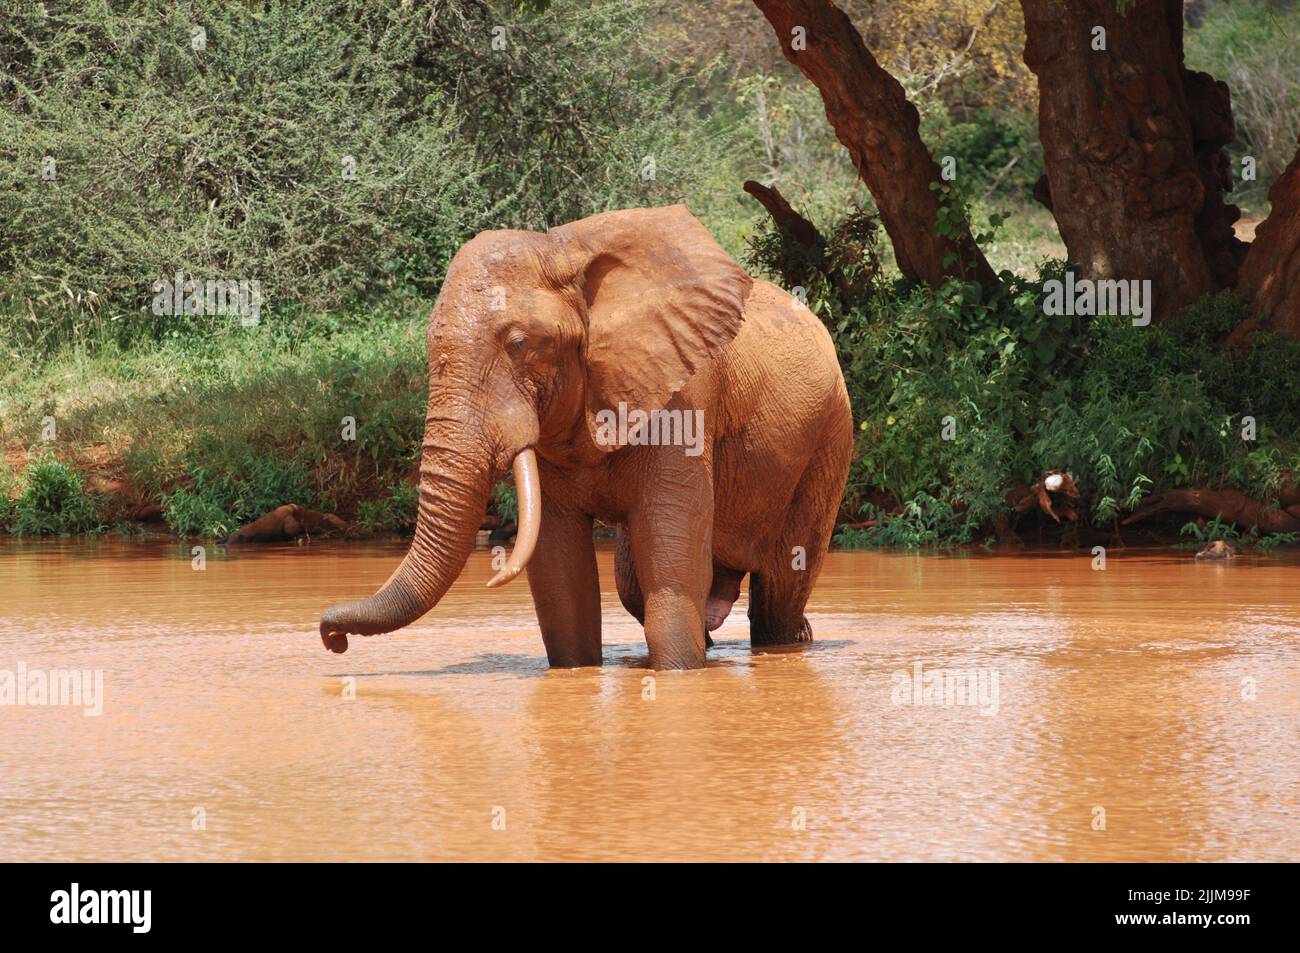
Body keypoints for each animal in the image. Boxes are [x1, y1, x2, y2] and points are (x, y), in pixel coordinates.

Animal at [318, 204, 852, 670]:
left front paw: (678, 678)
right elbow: (562, 577)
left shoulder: (684, 399)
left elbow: (672, 569)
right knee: (635, 583)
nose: (332, 638)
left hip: (830, 438)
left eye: (519, 345)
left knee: (780, 589)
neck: (560, 250)